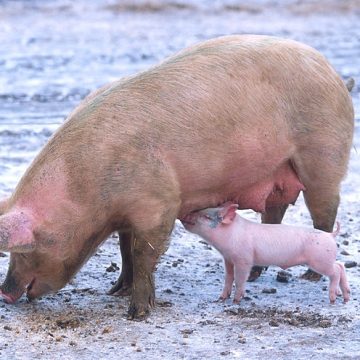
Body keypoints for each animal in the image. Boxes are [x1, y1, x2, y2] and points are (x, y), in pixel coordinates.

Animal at [181, 202, 350, 304]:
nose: (185, 215)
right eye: (202, 210)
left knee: (336, 271)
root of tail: (330, 235)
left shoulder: (244, 259)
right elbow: (228, 277)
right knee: (340, 265)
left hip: (320, 261)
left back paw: (333, 298)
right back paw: (345, 297)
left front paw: (236, 301)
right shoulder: (228, 258)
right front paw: (221, 298)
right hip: (325, 259)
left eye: (206, 216)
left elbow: (240, 279)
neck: (231, 234)